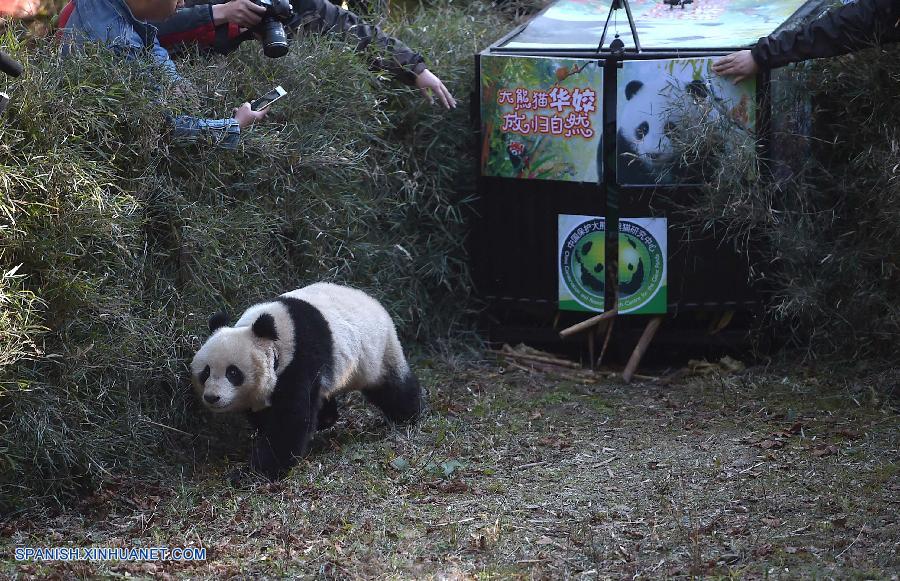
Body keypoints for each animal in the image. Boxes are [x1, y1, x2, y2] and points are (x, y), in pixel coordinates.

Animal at [190, 282, 423, 480]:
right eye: (205, 372)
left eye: (233, 372)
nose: (212, 397)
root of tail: (375, 302)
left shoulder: (300, 359)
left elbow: (290, 419)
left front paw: (255, 472)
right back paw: (326, 417)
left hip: (377, 352)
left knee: (392, 387)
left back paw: (408, 415)